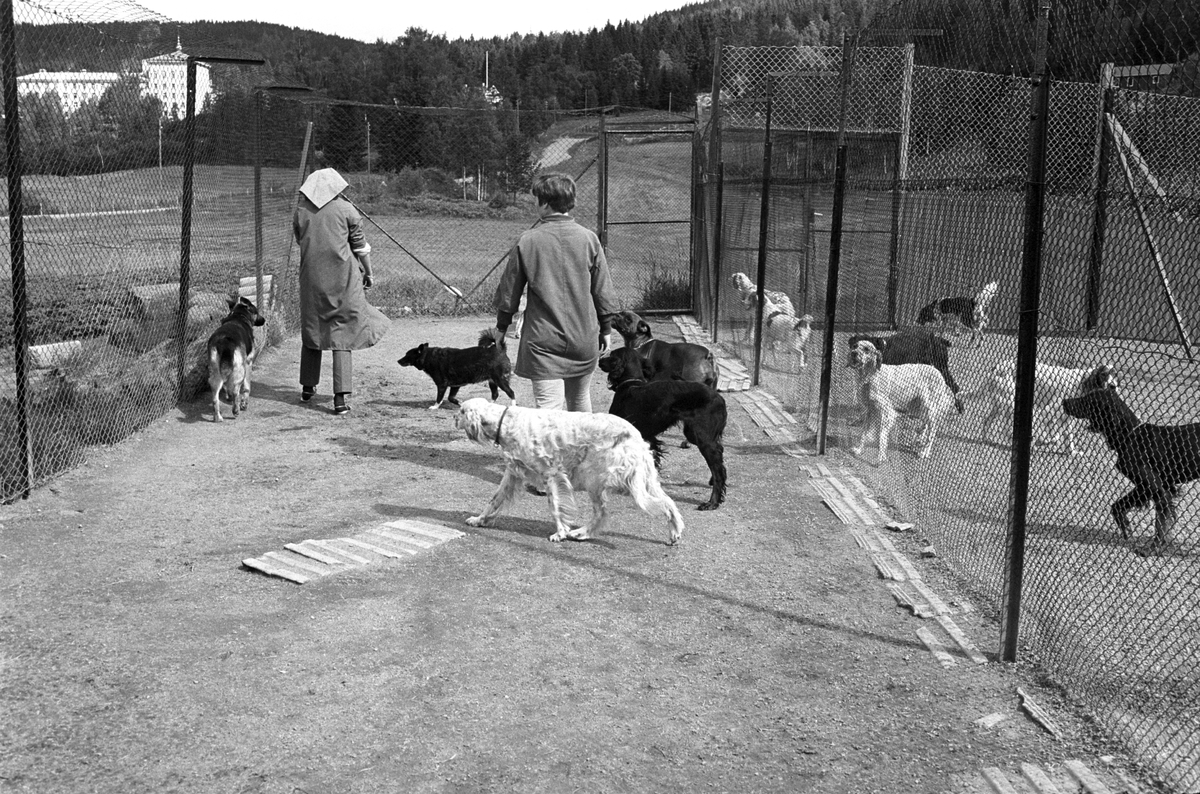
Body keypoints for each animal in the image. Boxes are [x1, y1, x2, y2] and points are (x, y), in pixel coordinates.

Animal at [453, 398, 686, 546]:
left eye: (462, 411)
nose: (454, 417)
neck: (506, 422)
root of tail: (636, 436)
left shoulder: (551, 475)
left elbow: (555, 507)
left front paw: (560, 533)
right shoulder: (512, 474)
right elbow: (494, 500)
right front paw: (479, 520)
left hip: (604, 481)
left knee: (606, 512)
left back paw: (580, 532)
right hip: (640, 480)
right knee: (668, 502)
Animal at [597, 347, 724, 510]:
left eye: (611, 355)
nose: (600, 360)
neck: (630, 383)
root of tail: (720, 398)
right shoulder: (648, 437)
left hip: (703, 438)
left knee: (718, 468)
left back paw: (712, 502)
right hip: (693, 434)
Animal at [1060, 388, 1200, 556]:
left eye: (1088, 400)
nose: (1064, 401)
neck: (1129, 435)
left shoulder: (1156, 489)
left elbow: (1160, 524)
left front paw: (1152, 549)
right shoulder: (1151, 488)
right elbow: (1117, 505)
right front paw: (1125, 526)